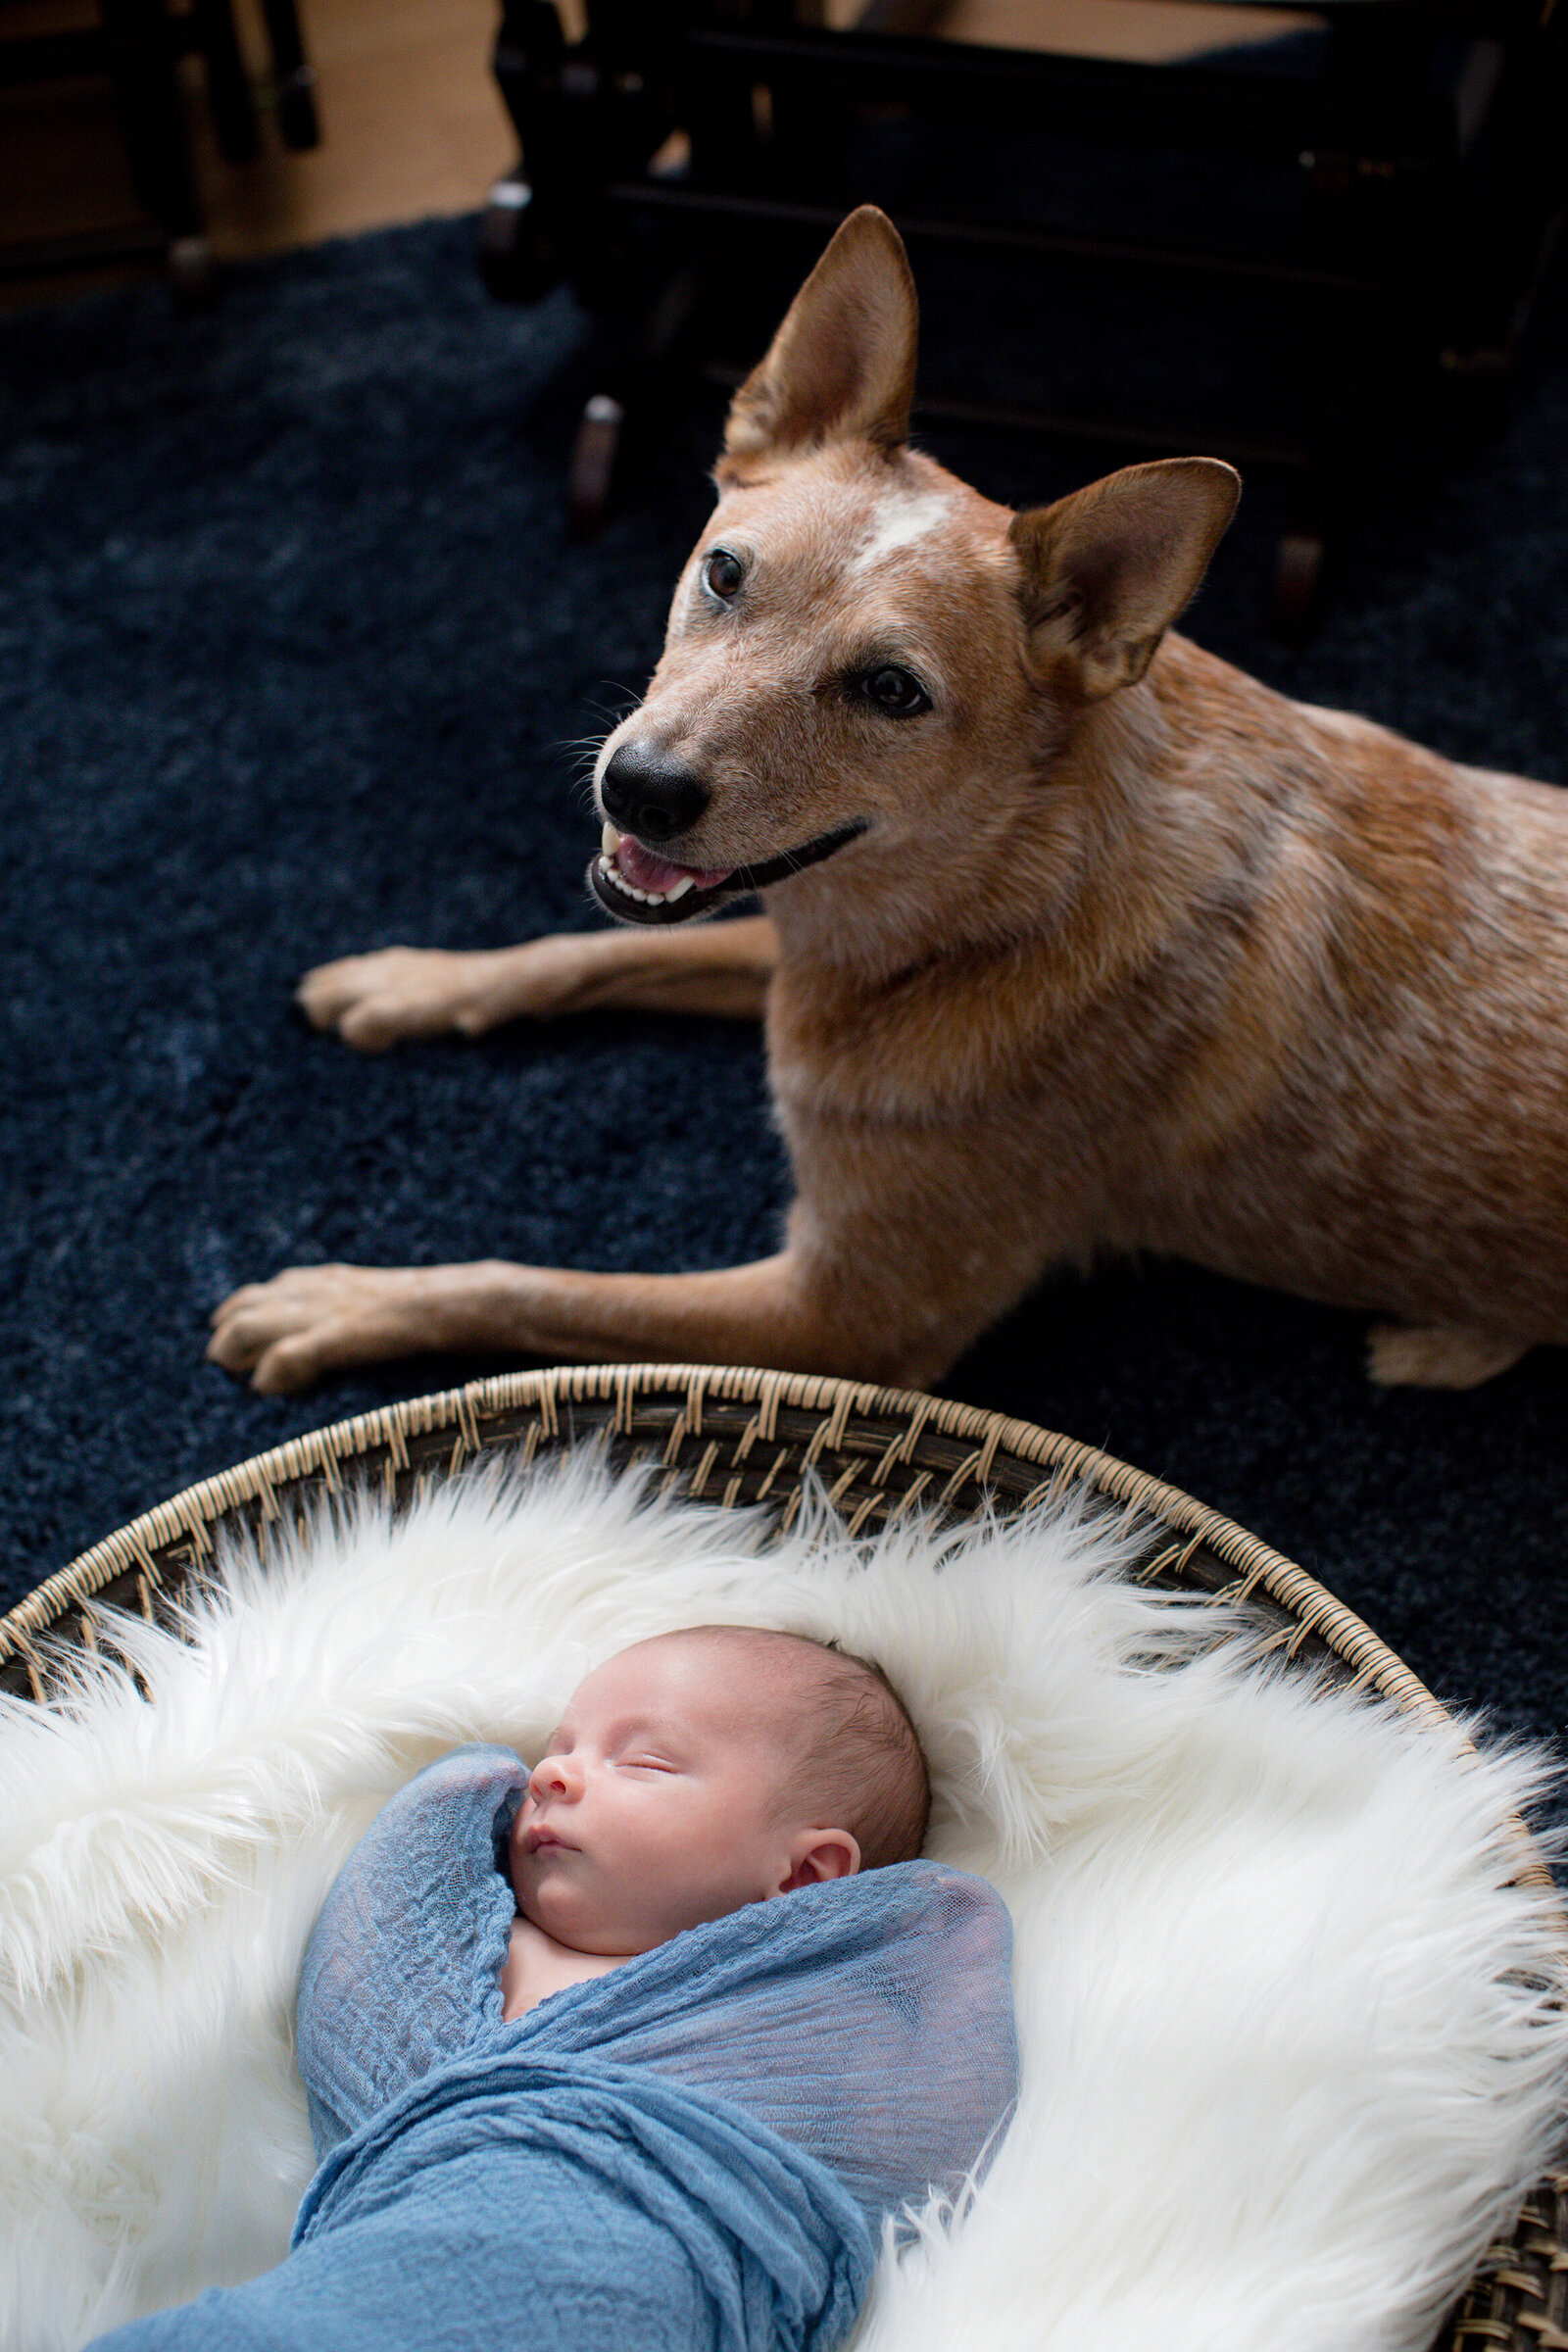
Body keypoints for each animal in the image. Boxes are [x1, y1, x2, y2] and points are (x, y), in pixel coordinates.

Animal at [211, 202, 1568, 1392]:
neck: (1000, 896)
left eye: (891, 690)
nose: (637, 790)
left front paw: (341, 1301)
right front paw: (411, 981)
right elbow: (575, 949)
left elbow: (529, 1288)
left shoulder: (843, 1318)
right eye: (722, 571)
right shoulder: (778, 939)